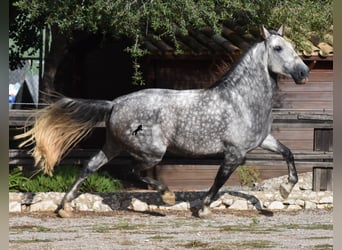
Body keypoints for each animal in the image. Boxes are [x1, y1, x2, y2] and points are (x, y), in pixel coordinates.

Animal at [16, 25, 310, 217]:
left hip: (112, 145)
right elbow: (219, 181)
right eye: (278, 48)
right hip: (152, 151)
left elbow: (288, 154)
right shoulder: (235, 153)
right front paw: (203, 208)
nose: (304, 73)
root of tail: (115, 103)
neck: (241, 100)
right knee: (133, 171)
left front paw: (285, 191)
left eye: (293, 47)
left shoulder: (263, 141)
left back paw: (64, 208)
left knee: (90, 166)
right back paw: (167, 197)